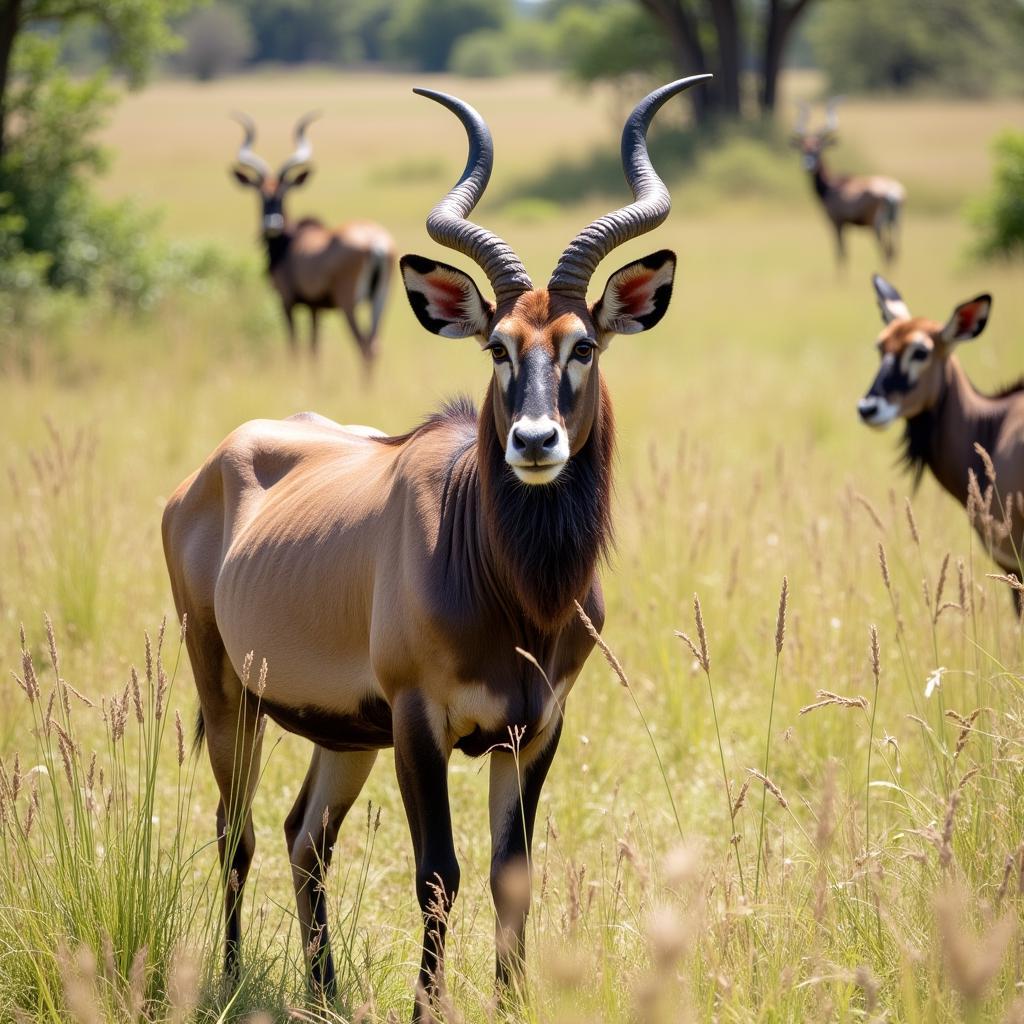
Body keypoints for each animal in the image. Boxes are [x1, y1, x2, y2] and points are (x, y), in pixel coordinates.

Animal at [232, 112, 395, 376]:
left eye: (283, 192)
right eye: (261, 194)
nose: (272, 223)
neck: (289, 244)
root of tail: (376, 242)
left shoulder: (287, 301)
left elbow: (295, 345)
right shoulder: (314, 308)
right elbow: (314, 348)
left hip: (349, 305)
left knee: (363, 346)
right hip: (380, 301)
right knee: (375, 344)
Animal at [790, 99, 905, 272]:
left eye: (818, 150)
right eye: (804, 150)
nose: (808, 166)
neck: (830, 186)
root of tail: (892, 193)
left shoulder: (836, 222)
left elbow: (840, 253)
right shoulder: (844, 225)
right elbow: (843, 252)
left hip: (876, 225)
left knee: (885, 251)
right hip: (895, 224)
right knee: (894, 252)